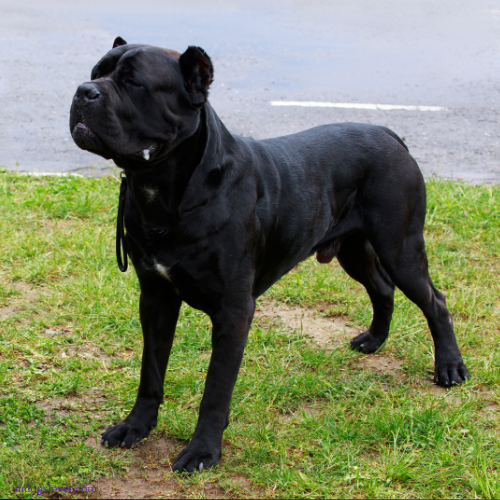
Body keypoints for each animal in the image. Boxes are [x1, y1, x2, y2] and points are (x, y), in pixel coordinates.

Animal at [69, 39, 468, 472]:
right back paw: (374, 340)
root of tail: (387, 132)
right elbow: (151, 371)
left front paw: (202, 451)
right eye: (96, 72)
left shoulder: (234, 310)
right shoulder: (156, 297)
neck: (162, 189)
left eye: (134, 82)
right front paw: (135, 427)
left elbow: (216, 388)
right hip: (355, 249)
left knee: (435, 300)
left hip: (400, 247)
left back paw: (449, 367)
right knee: (382, 288)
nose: (83, 91)